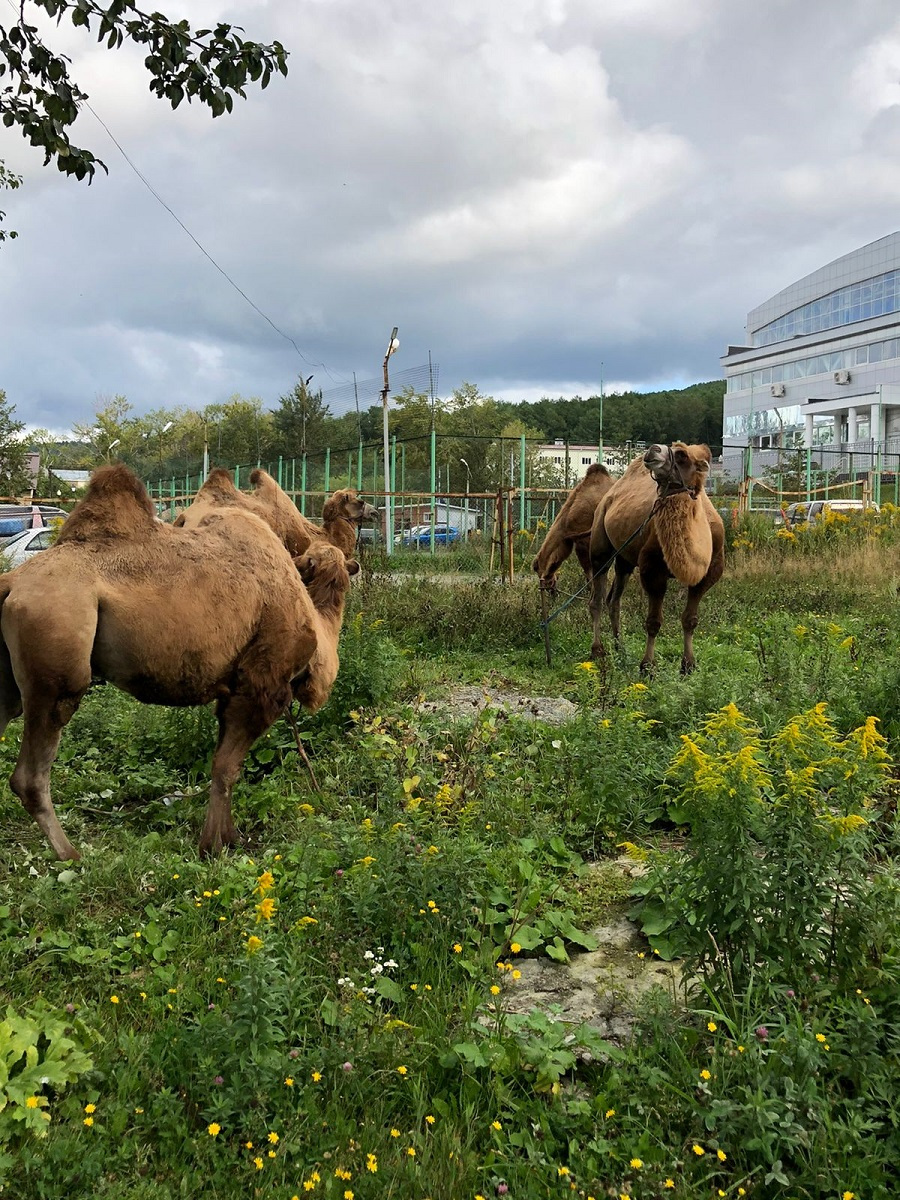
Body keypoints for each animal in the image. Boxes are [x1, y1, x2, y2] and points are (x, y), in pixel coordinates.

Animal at [0, 460, 357, 864]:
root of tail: (11, 582)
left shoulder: (231, 690)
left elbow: (224, 763)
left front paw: (230, 838)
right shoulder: (262, 686)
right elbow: (226, 768)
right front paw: (212, 847)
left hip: (10, 679)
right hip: (56, 663)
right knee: (31, 773)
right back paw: (71, 855)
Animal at [588, 444, 729, 676]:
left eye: (681, 456)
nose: (653, 449)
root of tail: (609, 495)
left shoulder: (709, 572)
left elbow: (690, 620)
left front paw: (688, 665)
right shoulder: (652, 569)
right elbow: (653, 622)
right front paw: (647, 667)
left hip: (625, 558)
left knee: (614, 599)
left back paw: (620, 648)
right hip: (600, 541)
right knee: (597, 598)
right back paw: (598, 651)